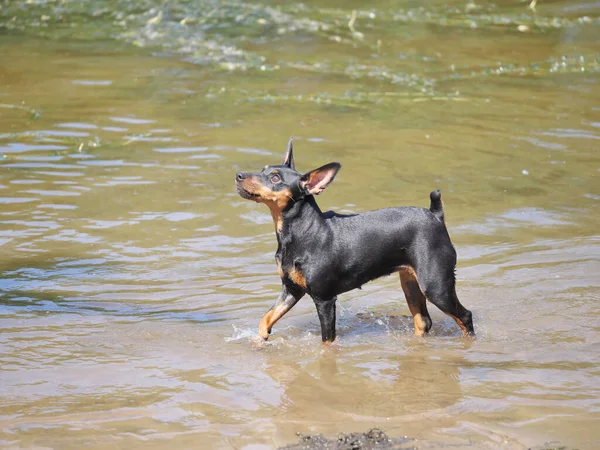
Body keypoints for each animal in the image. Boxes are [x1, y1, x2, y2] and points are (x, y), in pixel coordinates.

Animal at [234, 139, 474, 342]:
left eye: (275, 178)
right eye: (263, 170)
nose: (238, 175)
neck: (301, 231)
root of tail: (436, 216)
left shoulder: (324, 299)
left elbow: (327, 341)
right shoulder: (292, 290)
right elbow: (265, 319)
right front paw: (260, 342)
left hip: (436, 286)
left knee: (465, 316)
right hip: (410, 282)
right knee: (423, 322)